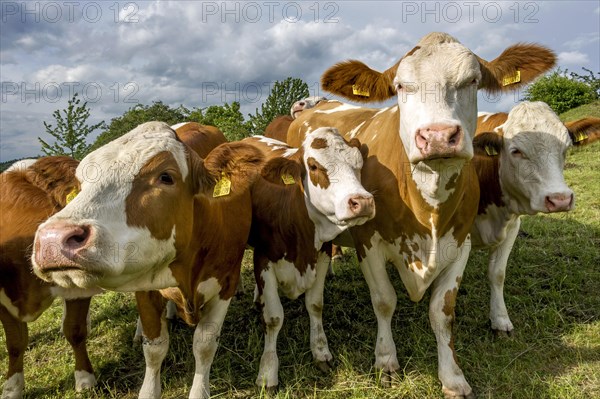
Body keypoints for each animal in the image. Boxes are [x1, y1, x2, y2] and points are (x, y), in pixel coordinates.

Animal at [30, 122, 264, 399]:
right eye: (80, 185)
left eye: (166, 177)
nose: (53, 238)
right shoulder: (144, 287)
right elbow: (154, 347)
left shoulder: (224, 282)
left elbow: (204, 345)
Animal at [244, 130, 376, 392]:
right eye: (314, 166)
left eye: (358, 163)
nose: (363, 202)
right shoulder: (263, 258)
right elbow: (273, 318)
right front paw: (267, 372)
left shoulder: (322, 254)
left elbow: (315, 305)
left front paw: (321, 352)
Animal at [288, 32, 556, 399]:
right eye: (401, 86)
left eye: (472, 81)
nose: (439, 136)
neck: (427, 203)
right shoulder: (368, 242)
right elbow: (384, 301)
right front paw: (386, 361)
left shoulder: (460, 243)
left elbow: (442, 312)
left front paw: (453, 377)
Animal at [474, 101, 576, 336]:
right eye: (516, 151)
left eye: (566, 149)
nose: (560, 199)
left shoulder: (512, 226)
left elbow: (497, 273)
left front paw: (500, 319)